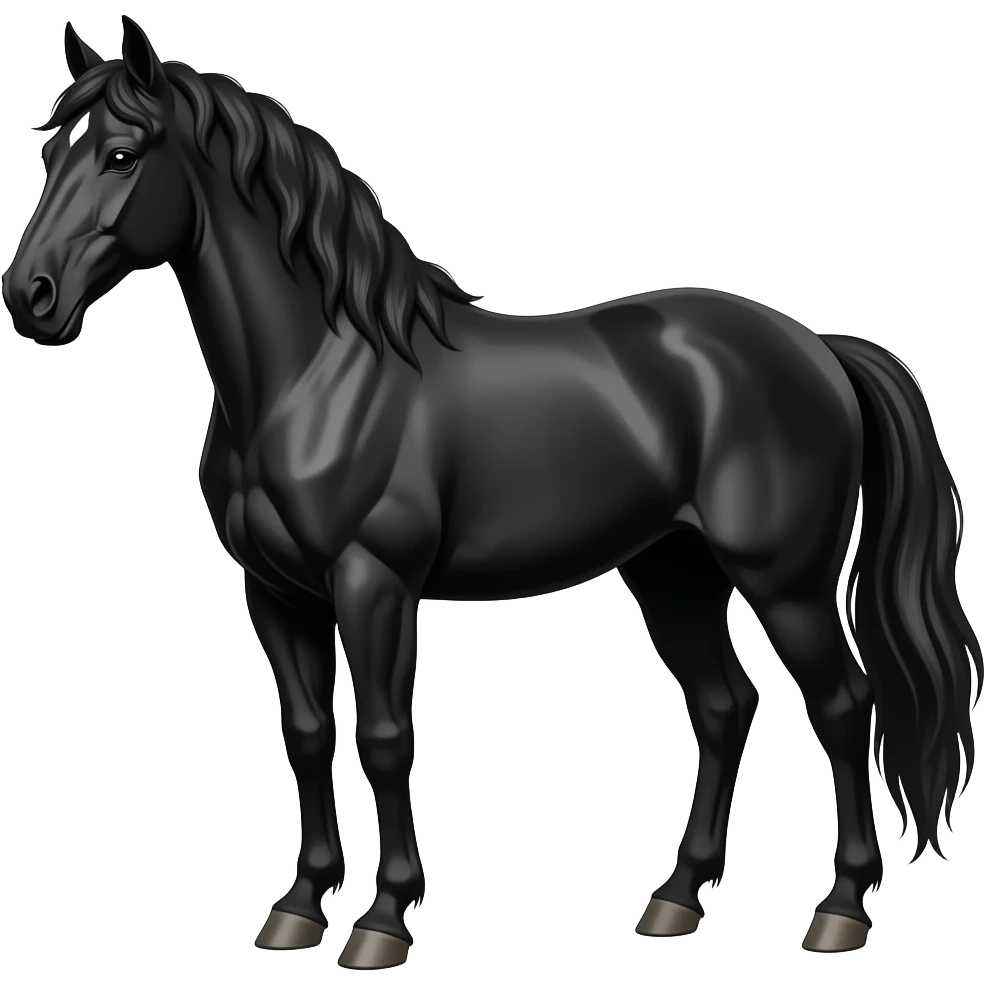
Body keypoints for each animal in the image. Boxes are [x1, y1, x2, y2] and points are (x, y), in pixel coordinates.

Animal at [3, 17, 981, 969]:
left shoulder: (374, 583)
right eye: (50, 154)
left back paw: (839, 910)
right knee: (722, 706)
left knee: (843, 707)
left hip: (786, 583)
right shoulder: (275, 593)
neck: (318, 371)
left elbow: (385, 737)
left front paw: (382, 920)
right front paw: (297, 907)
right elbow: (308, 733)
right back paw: (674, 898)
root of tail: (817, 347)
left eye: (122, 154)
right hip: (673, 572)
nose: (29, 296)